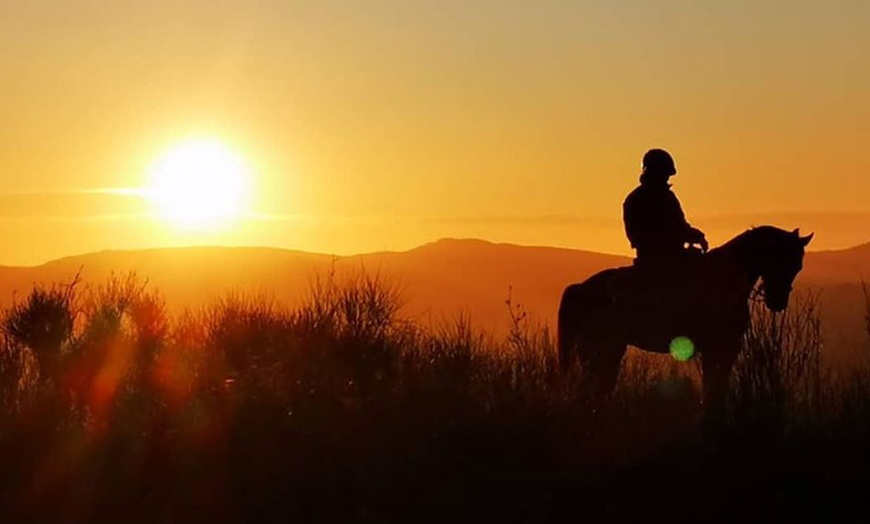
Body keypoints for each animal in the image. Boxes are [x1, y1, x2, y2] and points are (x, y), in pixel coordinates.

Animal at [564, 225, 816, 418]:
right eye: (781, 260)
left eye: (798, 266)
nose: (777, 302)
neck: (724, 278)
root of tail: (582, 288)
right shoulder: (720, 347)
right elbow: (714, 387)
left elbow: (716, 387)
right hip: (604, 350)